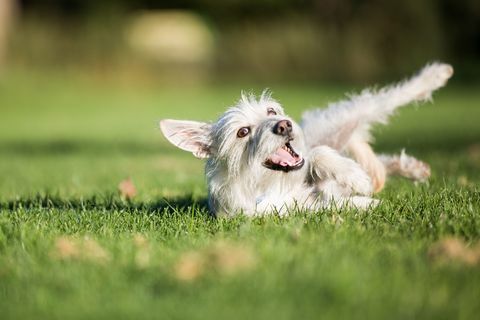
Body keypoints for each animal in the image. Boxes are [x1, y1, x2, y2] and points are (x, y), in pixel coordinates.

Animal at [160, 62, 454, 218]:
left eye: (271, 111)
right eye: (242, 132)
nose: (284, 125)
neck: (267, 184)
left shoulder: (307, 161)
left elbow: (318, 155)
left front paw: (356, 179)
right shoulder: (290, 212)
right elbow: (333, 204)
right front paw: (367, 202)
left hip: (344, 118)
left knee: (388, 98)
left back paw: (435, 75)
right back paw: (410, 169)